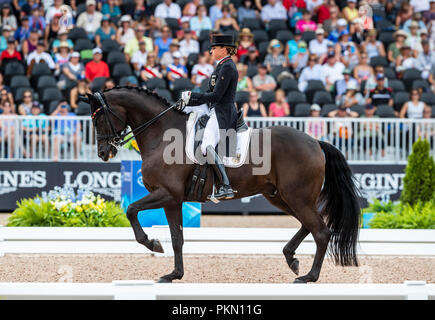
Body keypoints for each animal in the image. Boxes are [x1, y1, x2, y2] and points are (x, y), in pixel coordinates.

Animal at [84, 87, 362, 282]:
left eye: (98, 119)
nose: (103, 153)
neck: (162, 135)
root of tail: (315, 141)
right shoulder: (173, 200)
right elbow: (176, 238)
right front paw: (174, 275)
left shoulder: (167, 194)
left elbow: (131, 210)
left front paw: (152, 244)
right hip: (281, 197)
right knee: (312, 224)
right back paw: (291, 259)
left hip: (296, 196)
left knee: (321, 230)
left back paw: (309, 277)